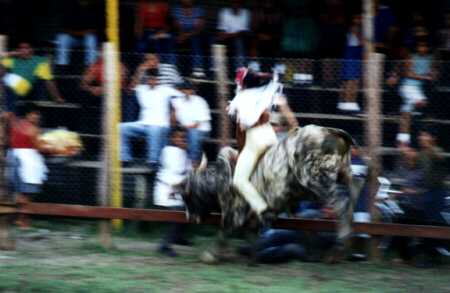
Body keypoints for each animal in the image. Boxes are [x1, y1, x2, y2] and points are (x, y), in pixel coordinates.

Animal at [178, 124, 362, 262]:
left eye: (187, 195)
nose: (189, 217)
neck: (220, 178)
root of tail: (330, 131)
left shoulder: (233, 214)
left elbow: (223, 233)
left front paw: (210, 255)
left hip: (317, 180)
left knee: (342, 202)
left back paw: (341, 244)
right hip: (343, 173)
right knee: (355, 187)